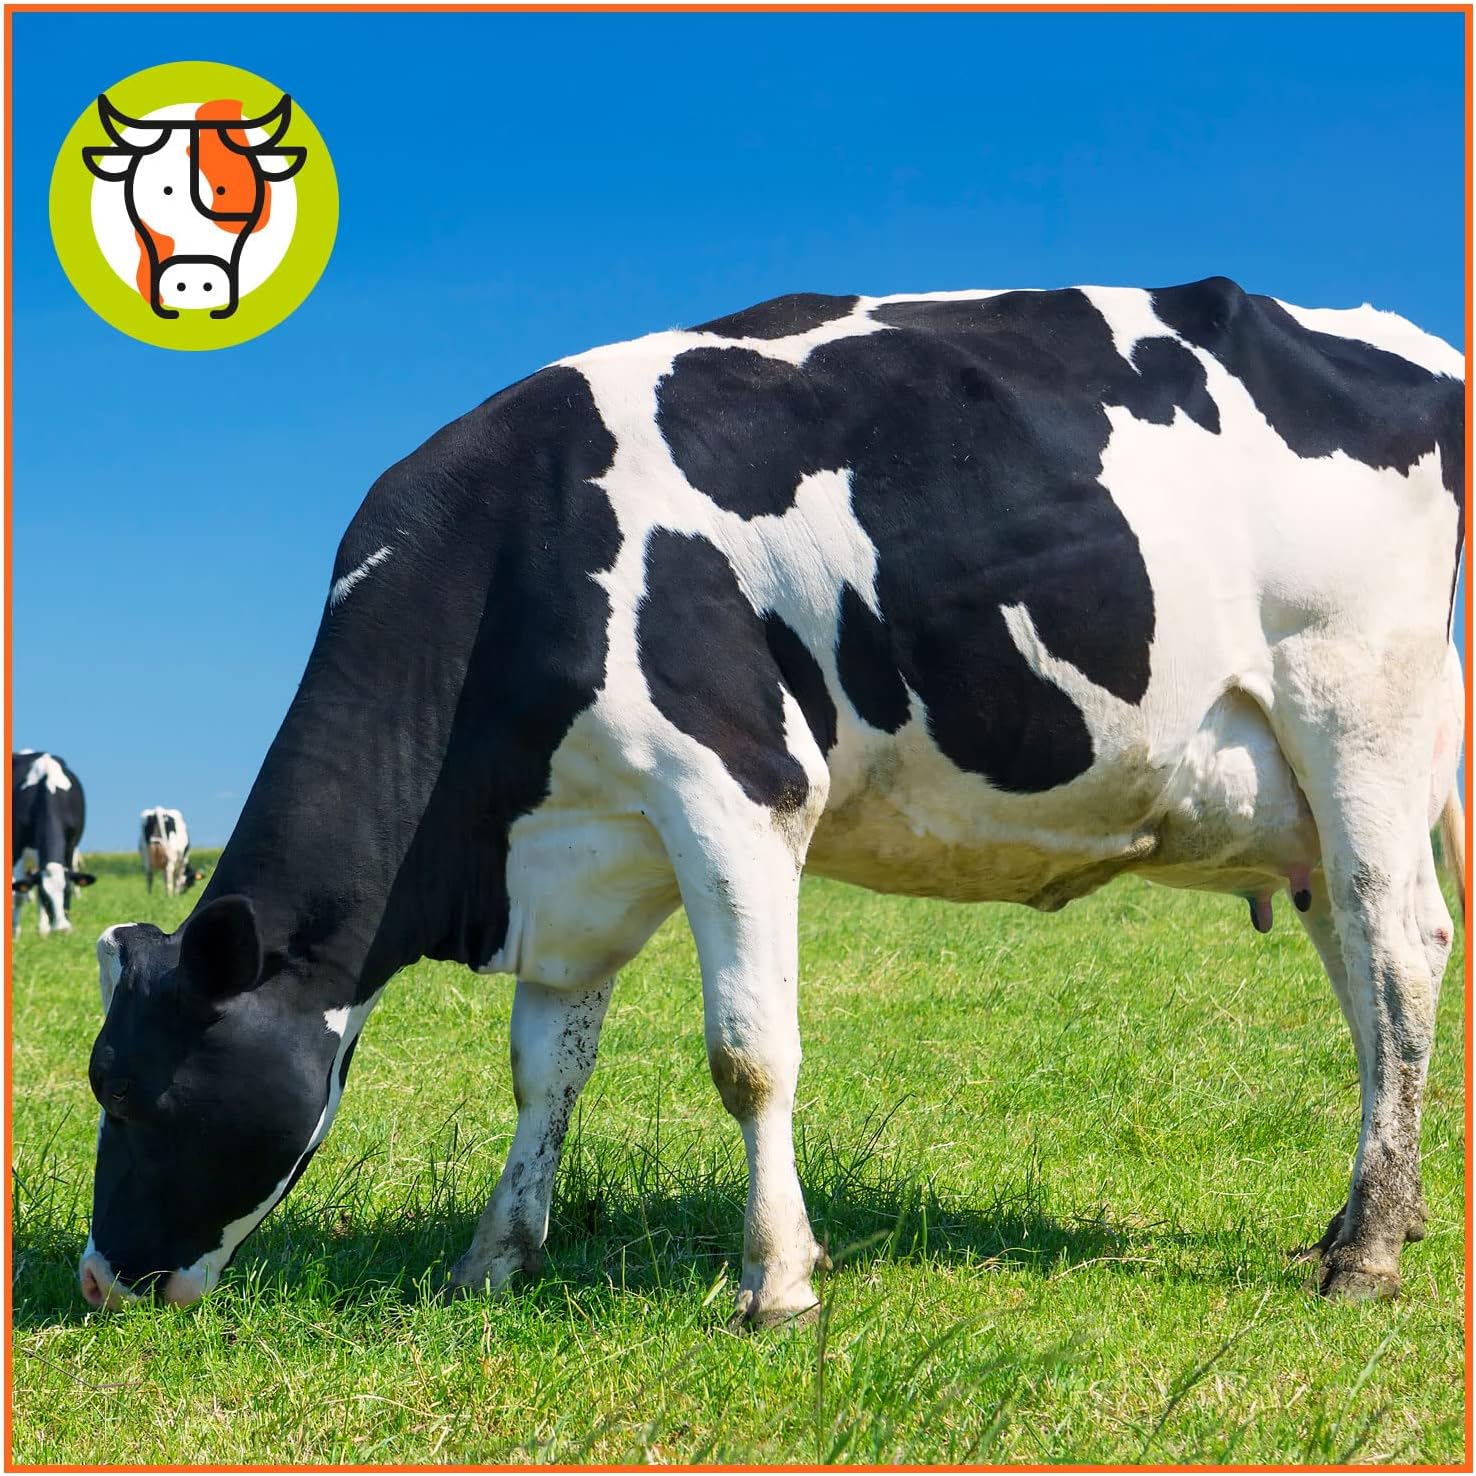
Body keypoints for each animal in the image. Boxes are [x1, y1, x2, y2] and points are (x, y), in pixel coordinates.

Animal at [12, 752, 95, 937]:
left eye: (68, 891)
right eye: (45, 896)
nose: (62, 929)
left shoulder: (70, 845)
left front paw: (44, 930)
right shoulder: (17, 849)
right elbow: (19, 895)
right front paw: (15, 933)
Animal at [80, 278, 1465, 1324]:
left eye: (134, 1094)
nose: (97, 1282)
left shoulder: (735, 792)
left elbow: (748, 1057)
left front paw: (778, 1285)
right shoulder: (578, 850)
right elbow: (542, 1074)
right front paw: (493, 1261)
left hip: (1361, 712)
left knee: (1401, 952)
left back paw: (1366, 1255)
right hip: (1304, 797)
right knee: (1361, 977)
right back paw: (1359, 1218)